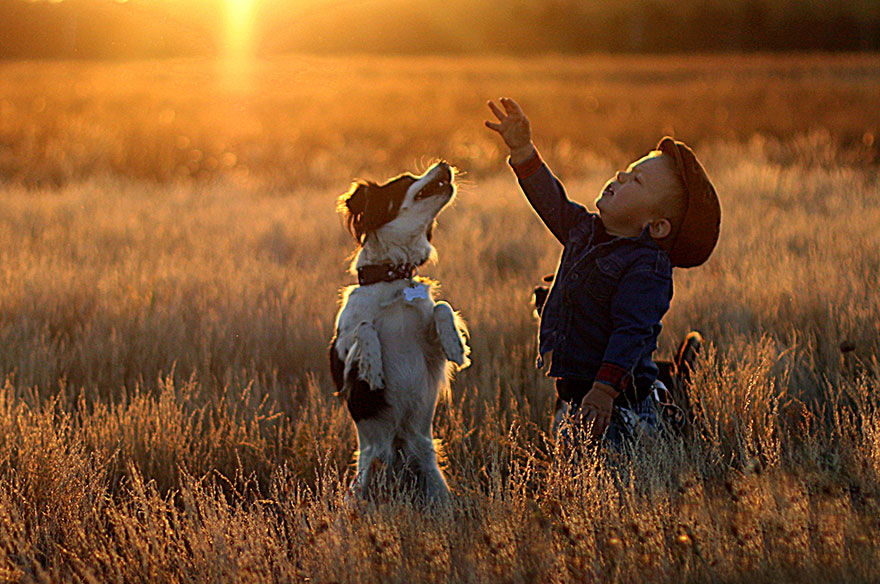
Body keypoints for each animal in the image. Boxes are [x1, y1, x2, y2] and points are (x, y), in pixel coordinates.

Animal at [328, 161, 468, 506]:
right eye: (405, 180)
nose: (444, 163)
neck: (391, 277)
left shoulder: (430, 350)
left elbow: (442, 306)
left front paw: (456, 346)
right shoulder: (339, 354)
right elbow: (365, 328)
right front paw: (373, 367)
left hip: (436, 488)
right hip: (357, 492)